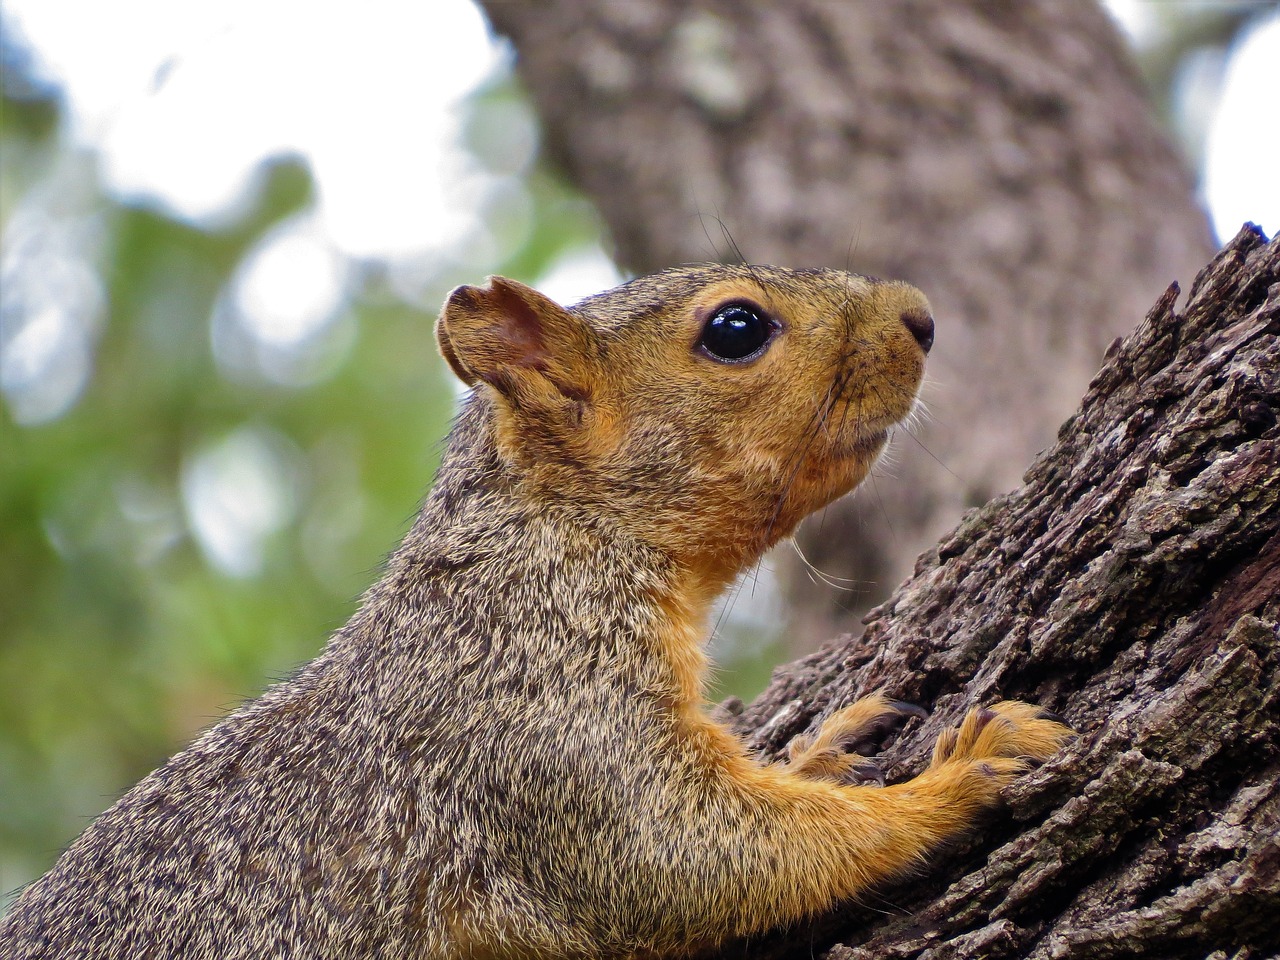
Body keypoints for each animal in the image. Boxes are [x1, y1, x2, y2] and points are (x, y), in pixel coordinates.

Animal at [2, 263, 1070, 960]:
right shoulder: (536, 711)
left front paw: (816, 751)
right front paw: (956, 779)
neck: (554, 542)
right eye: (736, 329)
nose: (920, 316)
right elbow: (684, 855)